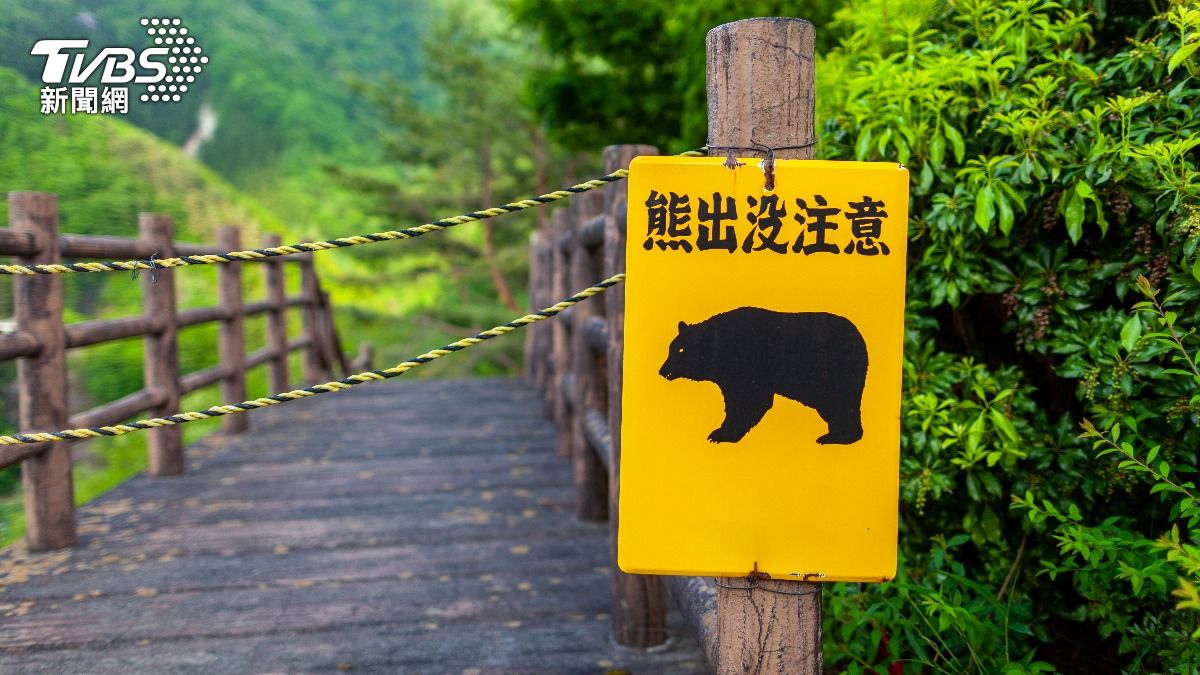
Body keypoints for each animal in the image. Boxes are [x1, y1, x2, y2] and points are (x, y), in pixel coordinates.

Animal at [658, 307, 868, 445]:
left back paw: (837, 437)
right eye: (671, 348)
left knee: (841, 403)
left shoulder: (748, 367)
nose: (662, 371)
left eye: (680, 349)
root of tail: (860, 338)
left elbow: (749, 400)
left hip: (834, 374)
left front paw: (721, 434)